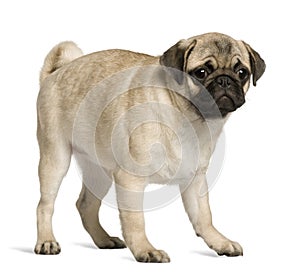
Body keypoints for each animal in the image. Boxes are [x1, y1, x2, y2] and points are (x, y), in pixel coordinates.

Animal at [34, 32, 266, 264]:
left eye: (242, 72)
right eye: (201, 72)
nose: (225, 80)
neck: (188, 118)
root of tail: (55, 72)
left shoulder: (195, 180)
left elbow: (204, 217)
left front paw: (219, 241)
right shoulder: (131, 179)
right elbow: (135, 221)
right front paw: (145, 249)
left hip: (99, 171)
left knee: (86, 205)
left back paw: (103, 239)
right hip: (56, 157)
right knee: (45, 205)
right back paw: (47, 241)